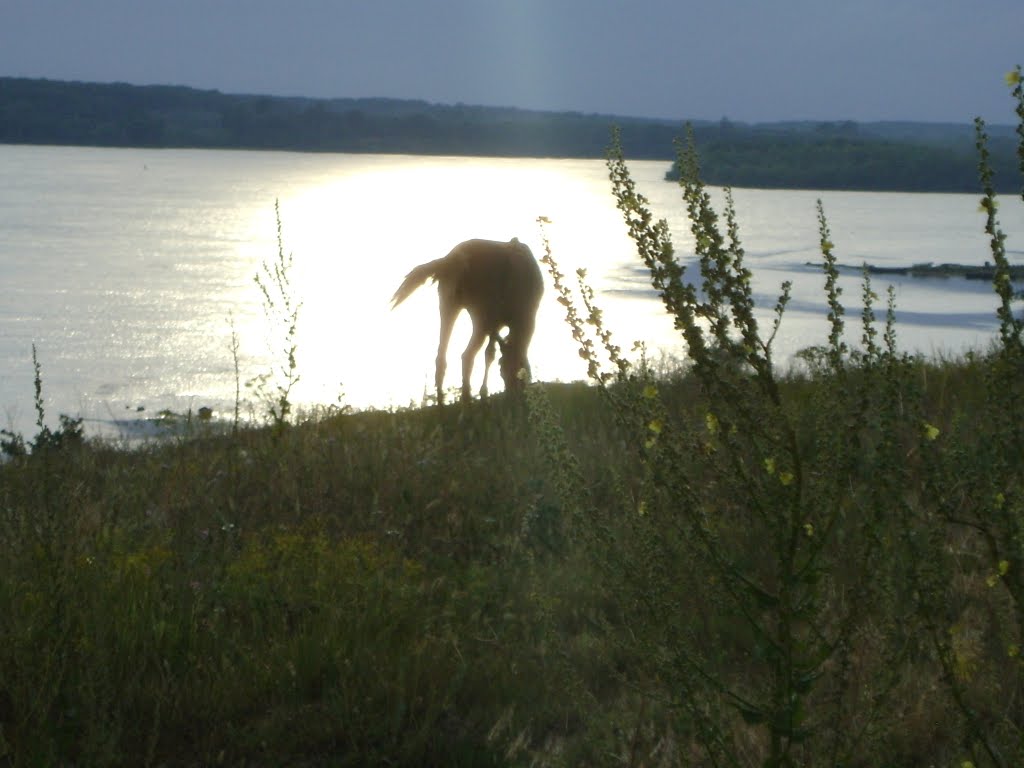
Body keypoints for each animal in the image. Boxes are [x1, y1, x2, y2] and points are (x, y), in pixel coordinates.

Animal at [389, 236, 544, 403]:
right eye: (503, 371)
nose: (513, 392)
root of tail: (452, 259)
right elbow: (490, 353)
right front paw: (483, 392)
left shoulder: (494, 324)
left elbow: (490, 353)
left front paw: (483, 392)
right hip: (479, 312)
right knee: (467, 355)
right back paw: (466, 402)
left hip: (448, 302)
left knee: (441, 358)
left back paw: (444, 403)